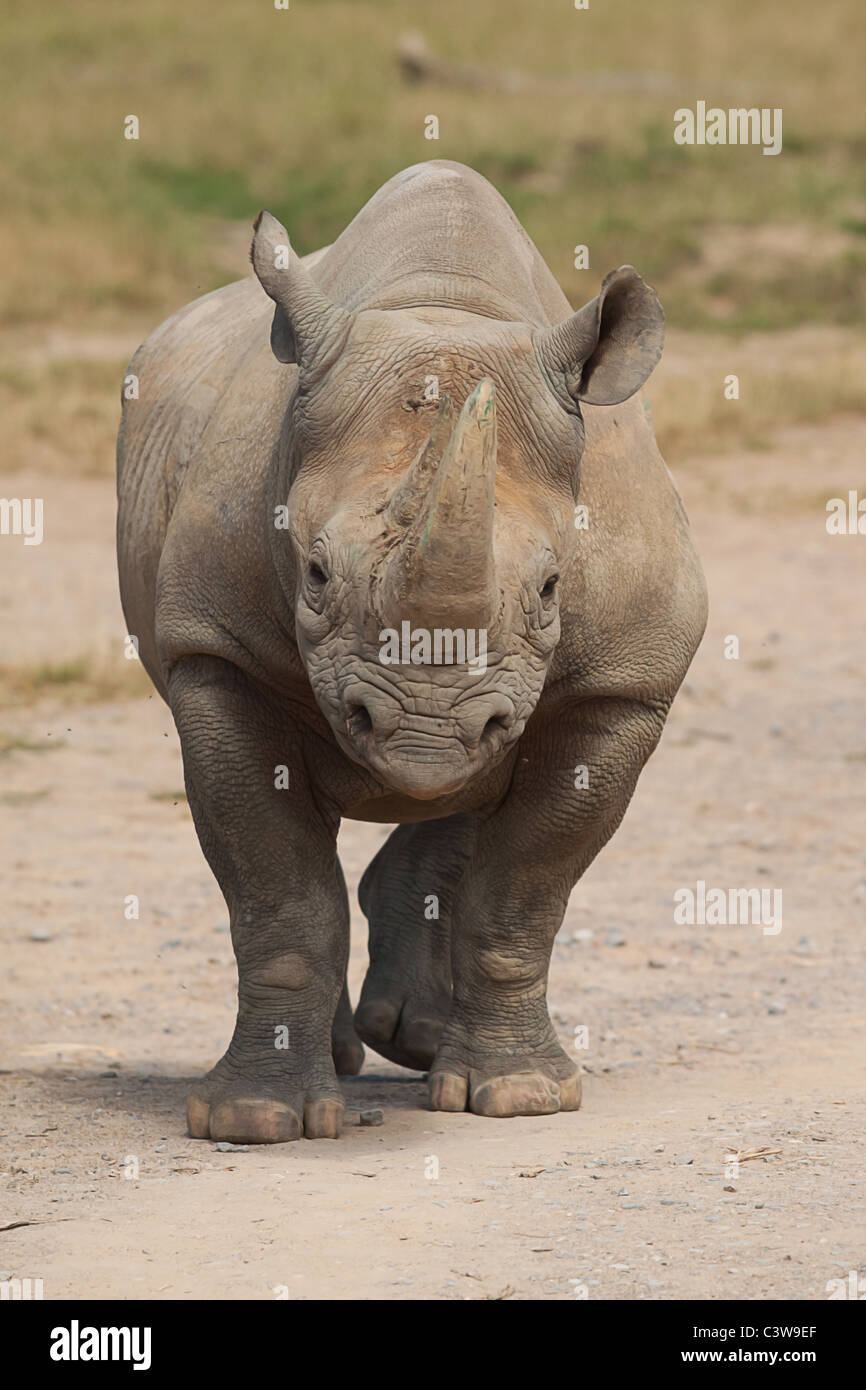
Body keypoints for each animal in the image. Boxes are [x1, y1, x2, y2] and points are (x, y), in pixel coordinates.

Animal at [117, 160, 707, 1143]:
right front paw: (253, 1119)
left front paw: (522, 1097)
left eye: (554, 590)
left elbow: (527, 888)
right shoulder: (217, 655)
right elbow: (278, 891)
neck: (446, 305)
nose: (424, 730)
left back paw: (424, 1044)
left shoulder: (624, 683)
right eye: (316, 573)